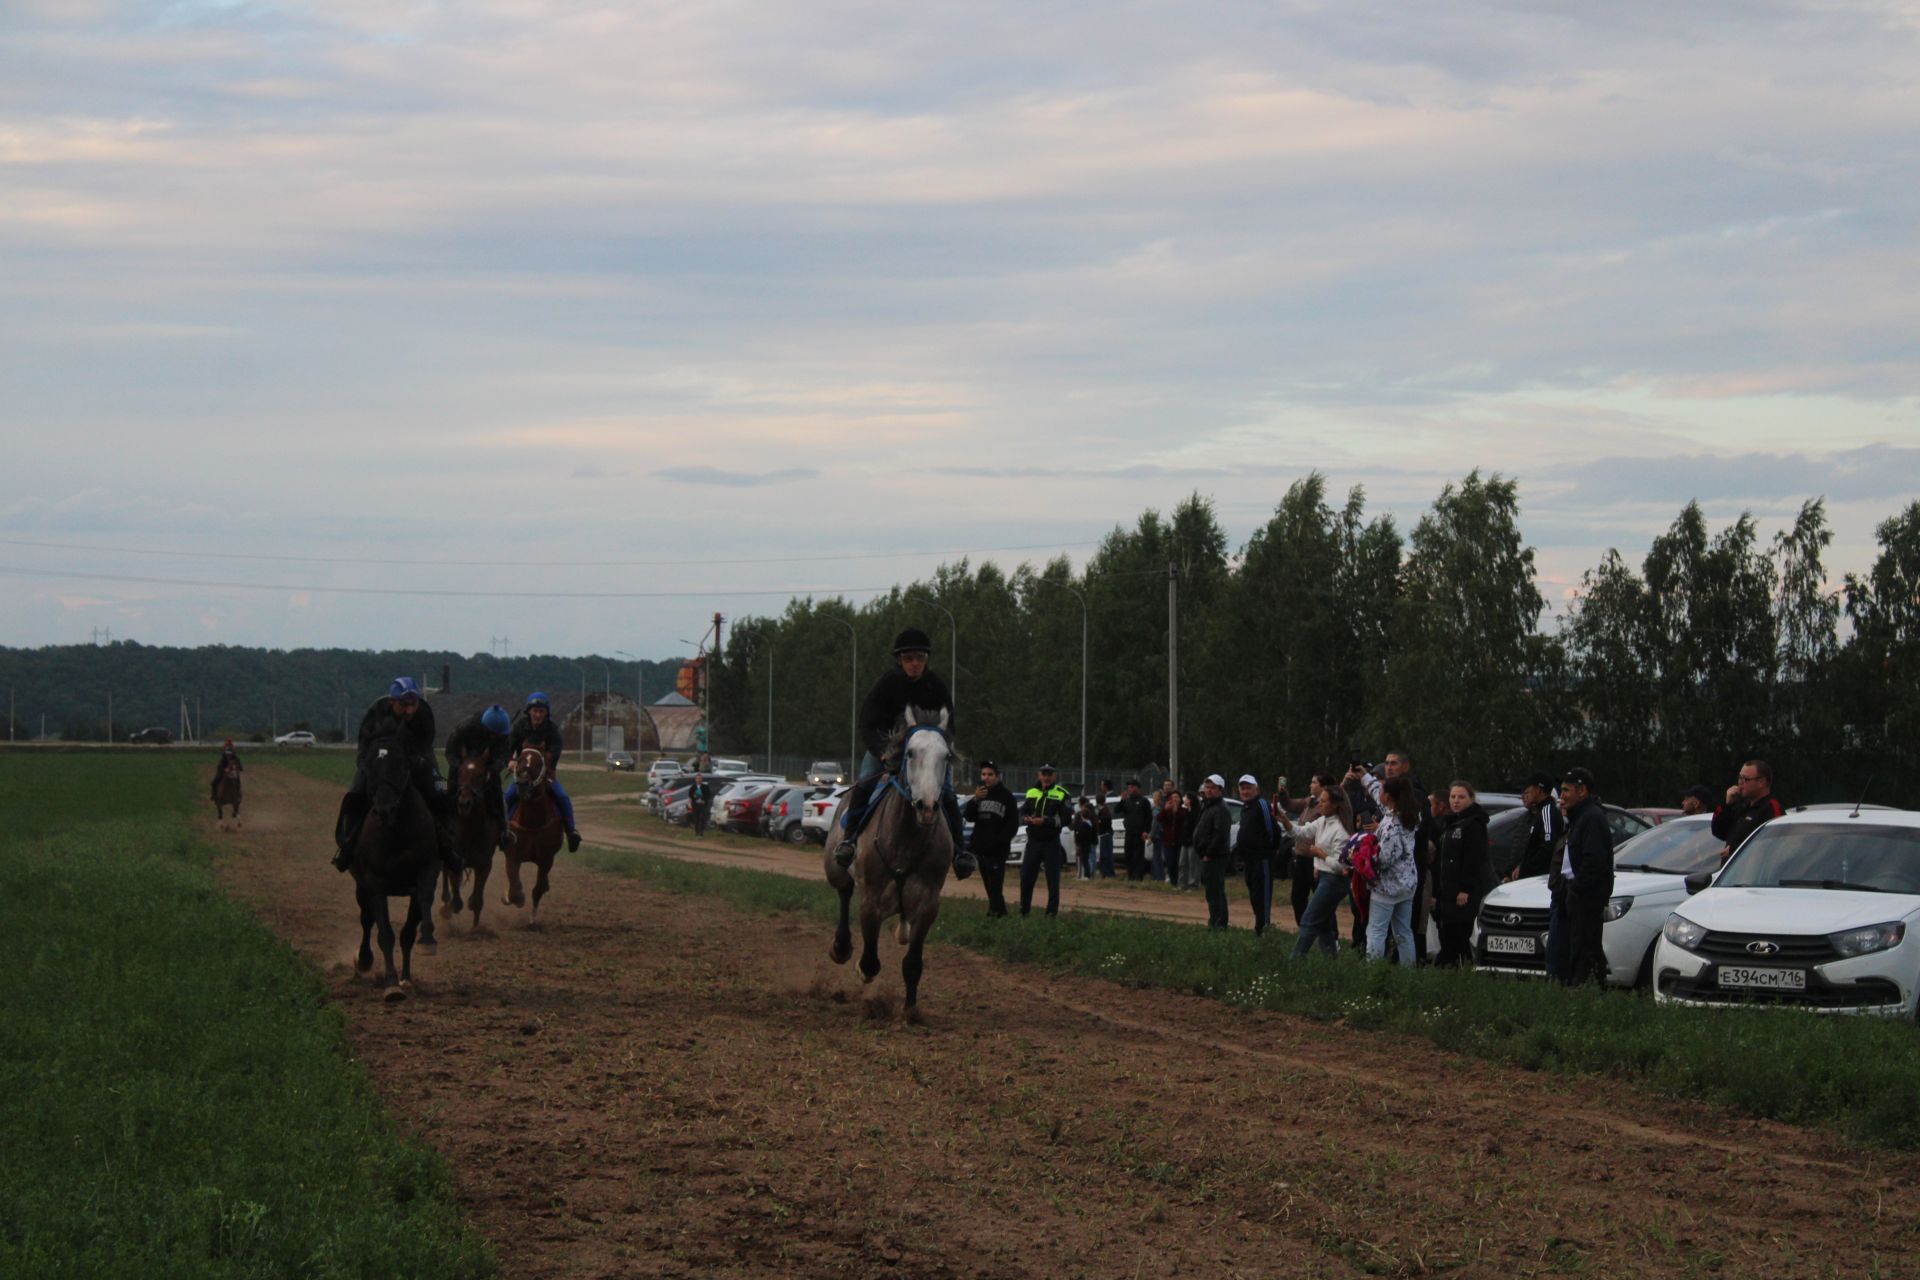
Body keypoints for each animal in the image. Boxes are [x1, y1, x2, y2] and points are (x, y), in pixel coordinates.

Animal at [349, 736, 441, 997]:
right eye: (369, 767)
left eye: (401, 766)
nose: (384, 809)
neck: (396, 831)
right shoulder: (375, 883)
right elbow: (384, 933)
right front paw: (391, 984)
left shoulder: (427, 870)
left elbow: (417, 916)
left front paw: (427, 942)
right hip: (361, 889)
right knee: (366, 920)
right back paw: (364, 960)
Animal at [503, 744, 560, 924]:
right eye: (519, 760)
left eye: (538, 764)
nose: (522, 784)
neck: (532, 822)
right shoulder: (512, 855)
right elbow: (514, 886)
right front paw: (513, 897)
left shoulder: (546, 860)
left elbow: (537, 889)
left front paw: (532, 919)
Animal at [825, 710, 952, 1013]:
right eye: (910, 753)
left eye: (946, 756)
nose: (927, 806)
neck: (905, 839)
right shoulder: (871, 900)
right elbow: (871, 960)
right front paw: (863, 970)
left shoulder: (928, 905)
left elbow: (913, 963)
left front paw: (910, 1011)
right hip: (835, 869)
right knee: (844, 892)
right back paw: (841, 947)